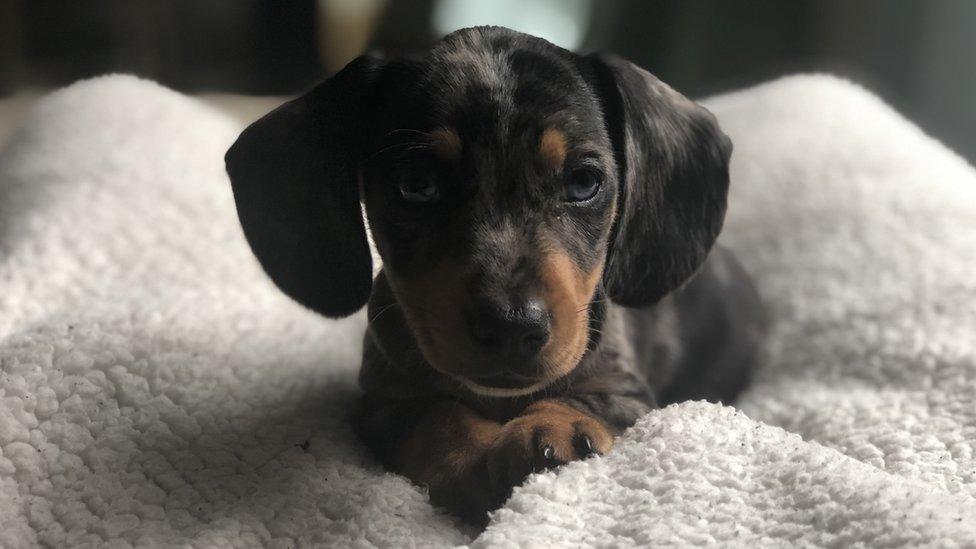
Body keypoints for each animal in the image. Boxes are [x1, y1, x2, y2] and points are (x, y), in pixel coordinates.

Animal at [225, 27, 768, 524]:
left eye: (583, 182)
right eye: (415, 185)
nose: (512, 327)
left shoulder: (628, 394)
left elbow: (587, 400)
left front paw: (556, 429)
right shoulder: (380, 403)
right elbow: (435, 419)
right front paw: (471, 466)